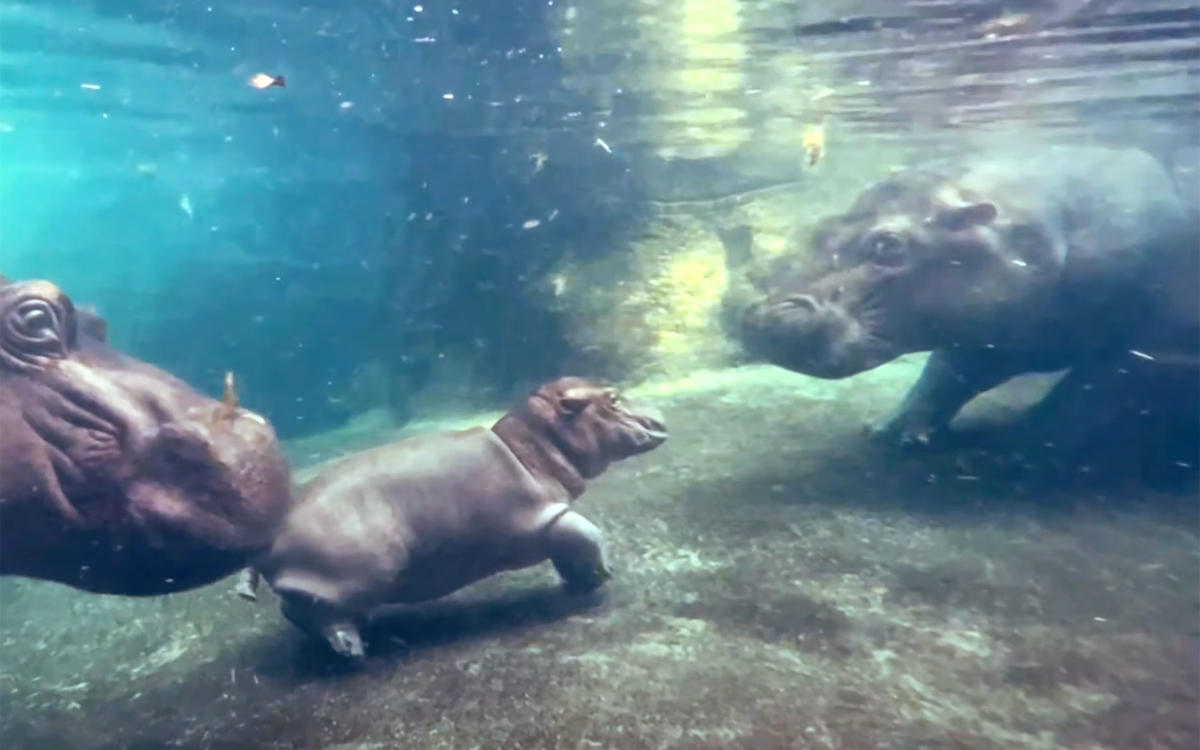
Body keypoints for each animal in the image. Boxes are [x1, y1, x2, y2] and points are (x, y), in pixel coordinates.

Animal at [234, 376, 667, 657]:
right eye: (612, 399)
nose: (660, 418)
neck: (532, 446)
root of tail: (266, 539)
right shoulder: (542, 516)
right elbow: (587, 532)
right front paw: (603, 575)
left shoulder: (550, 522)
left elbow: (570, 547)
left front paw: (583, 583)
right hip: (344, 579)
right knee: (304, 611)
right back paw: (351, 648)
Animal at [734, 143, 1195, 453]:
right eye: (818, 228)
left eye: (887, 246)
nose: (760, 316)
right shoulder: (994, 335)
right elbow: (944, 374)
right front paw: (890, 431)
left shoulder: (1153, 348)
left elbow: (1090, 390)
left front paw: (1024, 446)